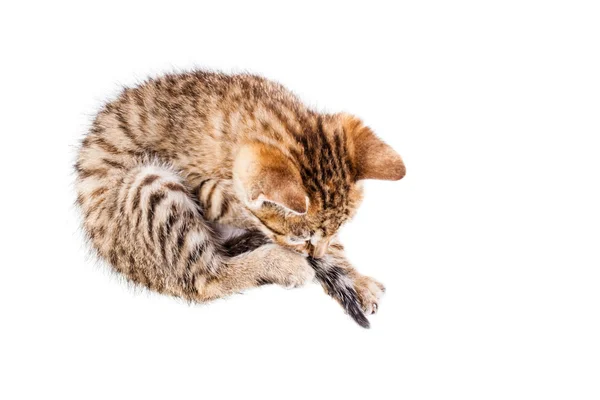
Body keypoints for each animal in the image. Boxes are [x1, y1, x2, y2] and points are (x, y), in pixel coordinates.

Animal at [74, 71, 404, 328]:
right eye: (300, 239)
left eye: (336, 230)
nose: (313, 252)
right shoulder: (204, 186)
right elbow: (241, 211)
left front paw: (353, 275)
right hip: (149, 187)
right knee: (207, 279)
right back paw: (282, 264)